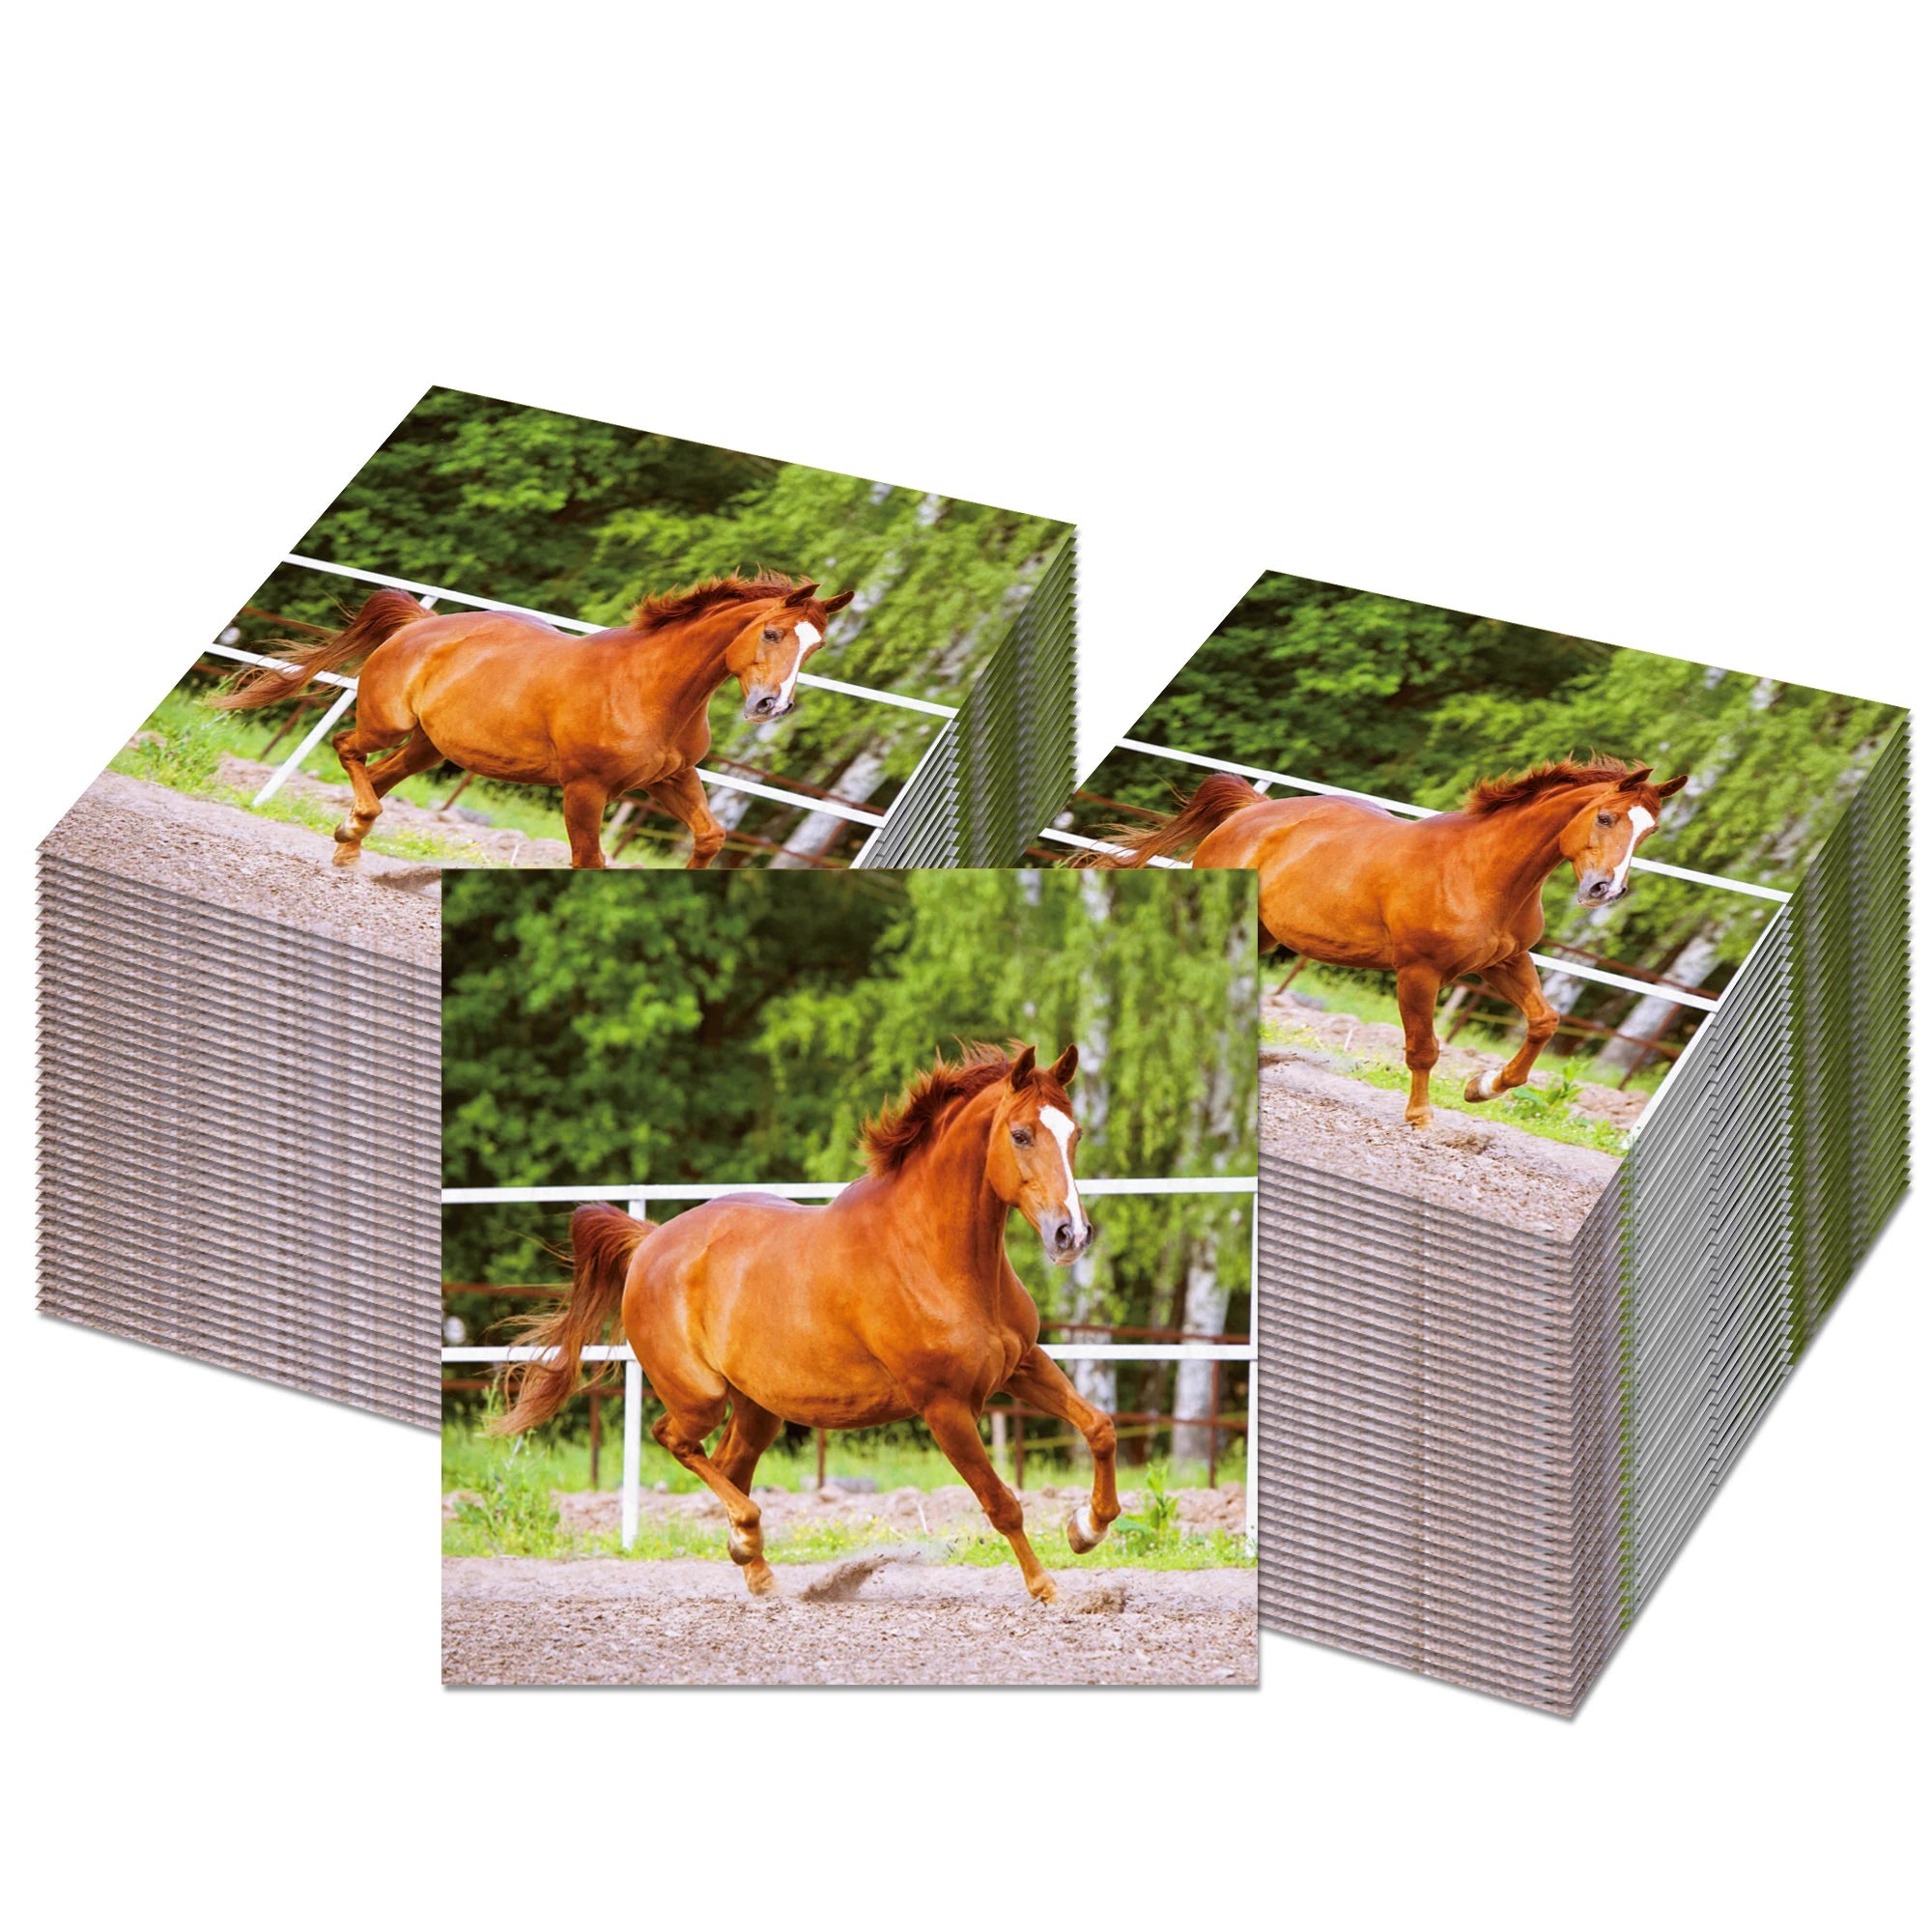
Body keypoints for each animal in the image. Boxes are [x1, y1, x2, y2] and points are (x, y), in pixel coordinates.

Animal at [215, 573, 855, 869]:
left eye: (816, 647)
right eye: (772, 633)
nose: (771, 706)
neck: (651, 689)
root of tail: (423, 624)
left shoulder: (671, 779)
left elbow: (711, 836)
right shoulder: (586, 789)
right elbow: (589, 861)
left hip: (429, 747)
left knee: (380, 775)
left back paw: (348, 843)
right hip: (387, 723)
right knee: (349, 748)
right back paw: (353, 833)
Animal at [489, 1043, 1119, 1603]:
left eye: (1076, 1135)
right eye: (1021, 1135)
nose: (1071, 1235)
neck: (937, 1258)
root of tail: (650, 1242)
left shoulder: (1023, 1365)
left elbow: (1100, 1427)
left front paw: (1085, 1528)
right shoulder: (943, 1406)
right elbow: (1001, 1502)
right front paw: (1047, 1588)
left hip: (758, 1406)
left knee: (729, 1463)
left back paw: (756, 1566)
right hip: (701, 1397)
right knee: (676, 1440)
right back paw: (748, 1536)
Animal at [1086, 757, 1688, 1129]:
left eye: (1648, 832)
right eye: (1605, 817)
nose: (1604, 890)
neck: (1482, 871)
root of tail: (1252, 810)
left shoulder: (1505, 962)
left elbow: (1544, 1021)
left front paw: (1483, 1087)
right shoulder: (1419, 971)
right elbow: (1424, 1048)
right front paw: (1421, 1117)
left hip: (1261, 934)